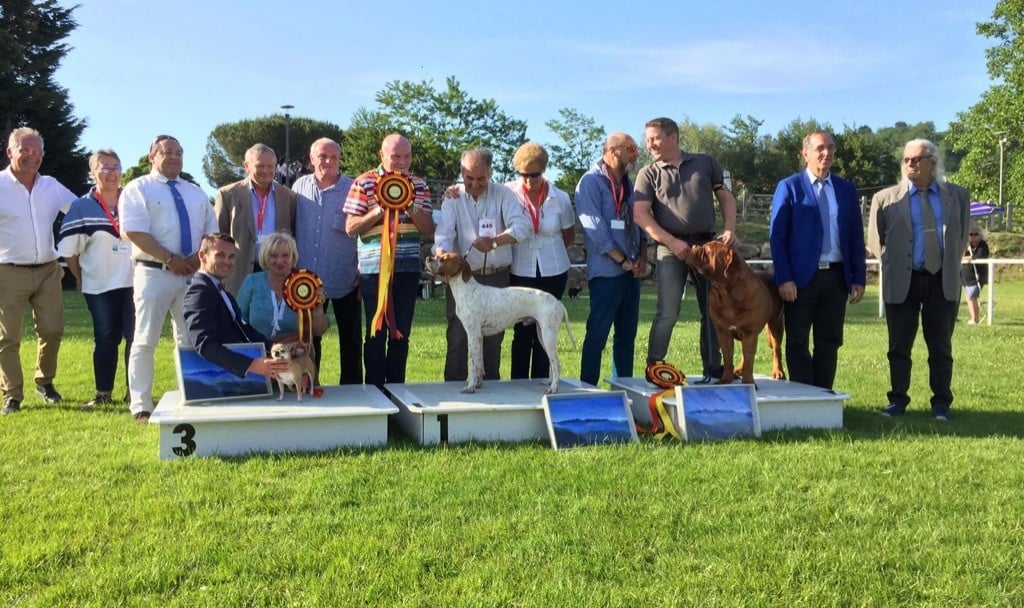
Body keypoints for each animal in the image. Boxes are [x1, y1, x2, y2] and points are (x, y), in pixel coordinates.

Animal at [688, 237, 782, 382]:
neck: (725, 293)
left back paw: (778, 372)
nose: (695, 246)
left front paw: (748, 382)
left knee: (776, 349)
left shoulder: (749, 332)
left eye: (708, 250)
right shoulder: (723, 332)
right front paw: (726, 380)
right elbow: (728, 358)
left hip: (776, 324)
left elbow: (749, 361)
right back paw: (738, 370)